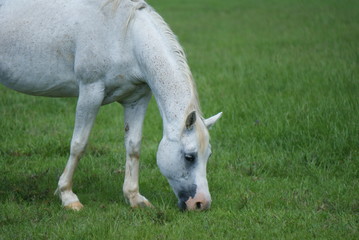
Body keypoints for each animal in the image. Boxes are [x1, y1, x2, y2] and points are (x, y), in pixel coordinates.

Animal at [0, 0, 222, 210]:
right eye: (189, 157)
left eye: (209, 155)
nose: (201, 204)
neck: (125, 37)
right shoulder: (90, 92)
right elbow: (78, 144)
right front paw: (68, 196)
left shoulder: (137, 99)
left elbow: (133, 146)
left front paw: (134, 197)